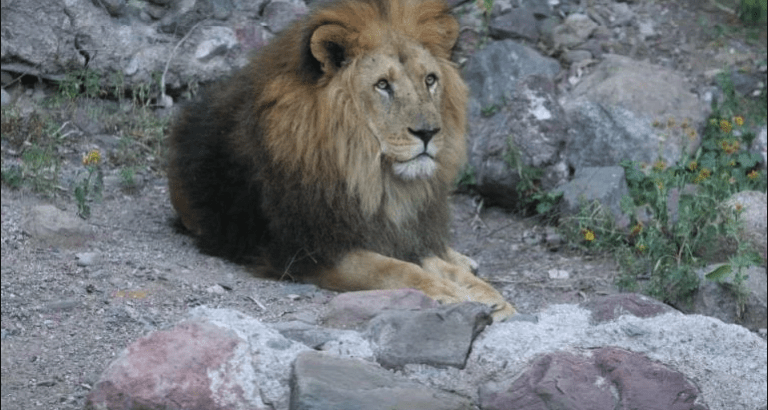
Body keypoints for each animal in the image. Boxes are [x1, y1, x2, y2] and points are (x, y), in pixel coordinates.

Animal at [167, 0, 515, 321]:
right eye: (383, 84)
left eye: (429, 80)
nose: (428, 132)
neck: (371, 174)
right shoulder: (307, 249)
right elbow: (390, 268)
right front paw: (446, 292)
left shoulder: (396, 231)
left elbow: (432, 262)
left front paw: (486, 294)